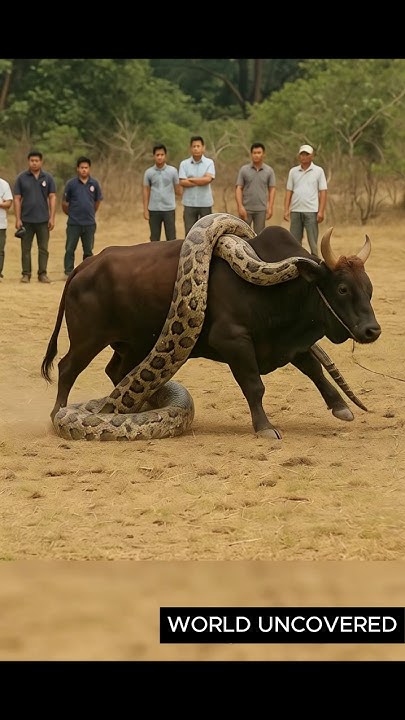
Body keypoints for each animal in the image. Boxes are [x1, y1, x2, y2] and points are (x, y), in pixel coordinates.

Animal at [41, 223, 381, 440]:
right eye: (342, 288)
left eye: (369, 288)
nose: (372, 330)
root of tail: (84, 266)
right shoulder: (233, 341)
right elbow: (255, 386)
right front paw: (264, 426)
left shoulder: (288, 342)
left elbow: (314, 370)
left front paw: (340, 407)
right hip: (88, 339)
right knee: (67, 368)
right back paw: (57, 412)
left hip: (131, 344)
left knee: (117, 371)